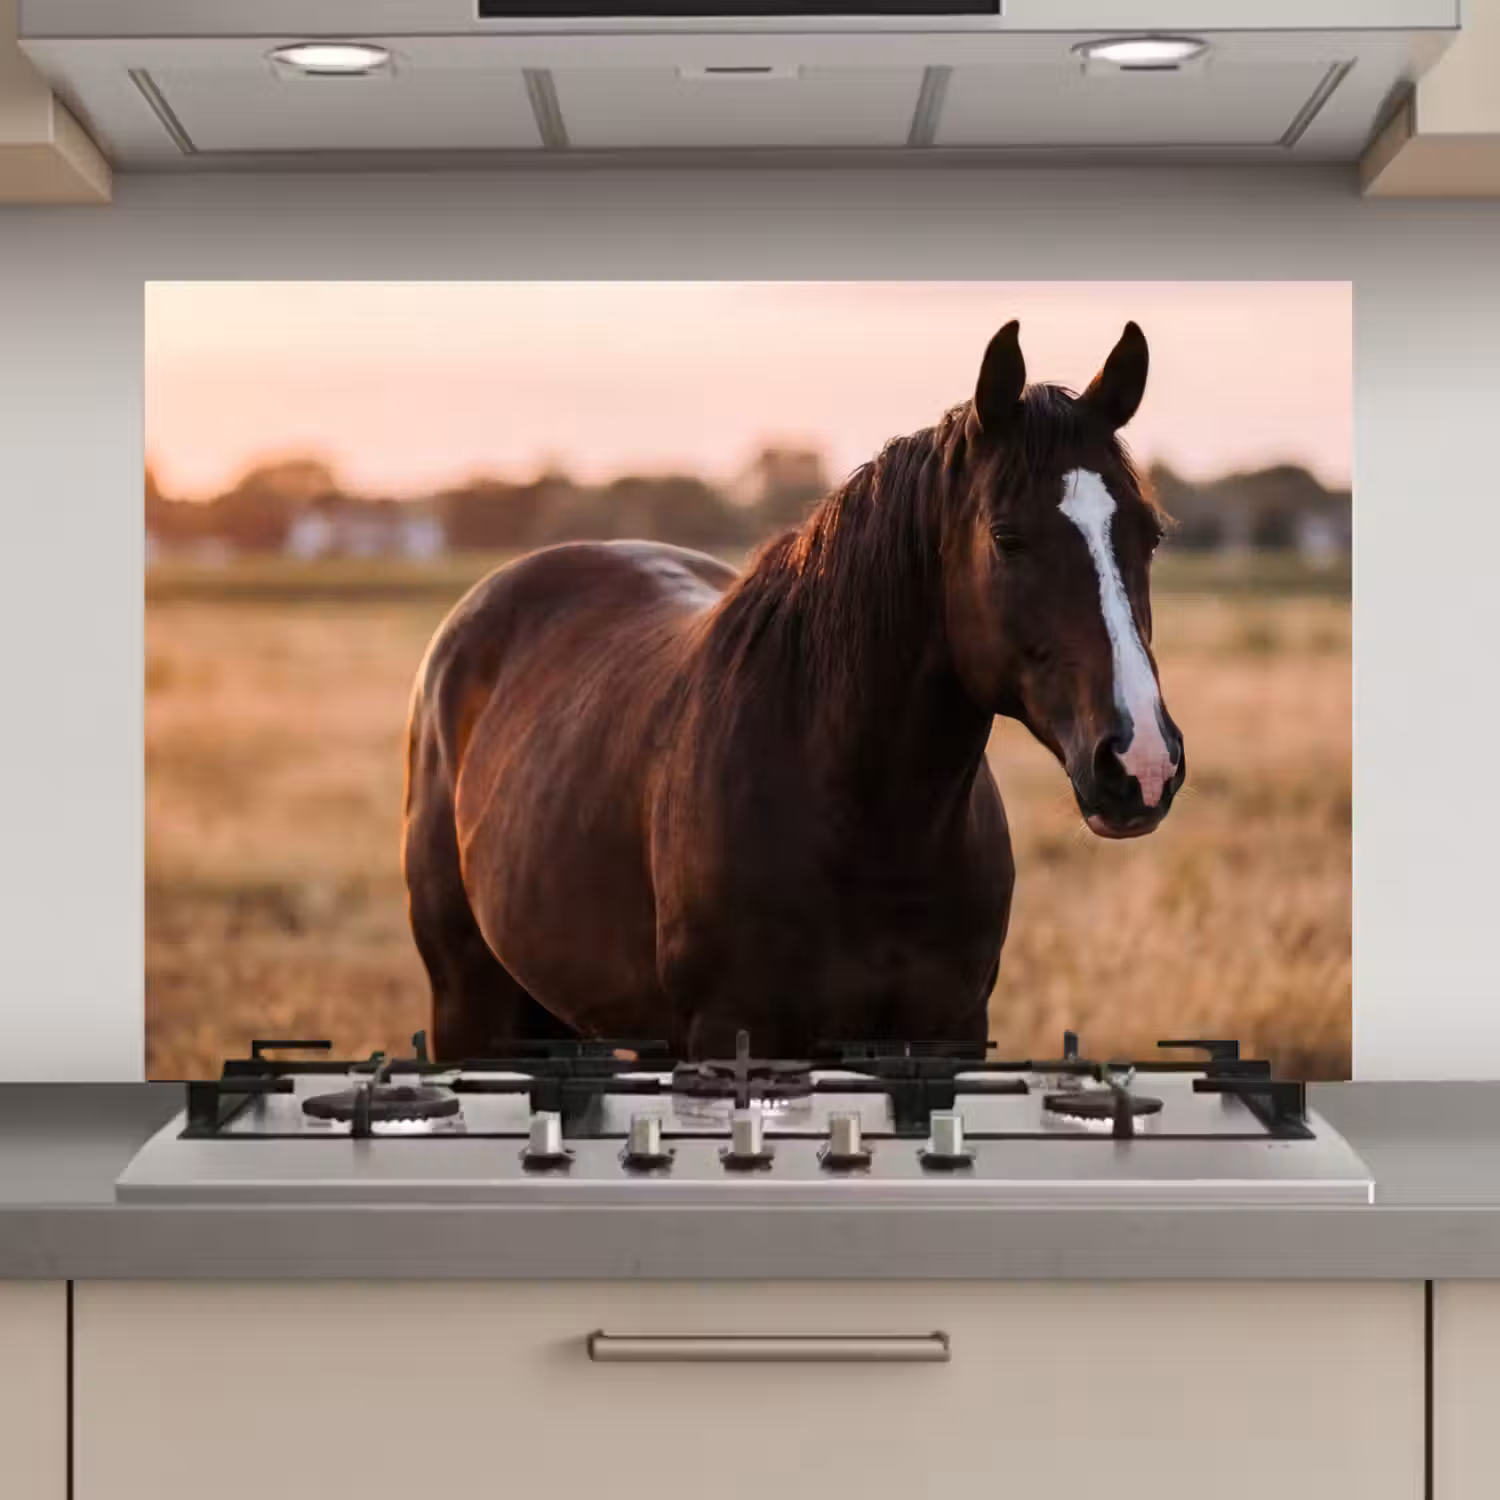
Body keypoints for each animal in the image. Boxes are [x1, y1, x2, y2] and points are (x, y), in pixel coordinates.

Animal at [402, 319, 1185, 1062]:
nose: (1141, 762)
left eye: (1149, 535)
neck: (867, 824)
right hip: (469, 1001)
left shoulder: (948, 1031)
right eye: (1007, 538)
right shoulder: (731, 1035)